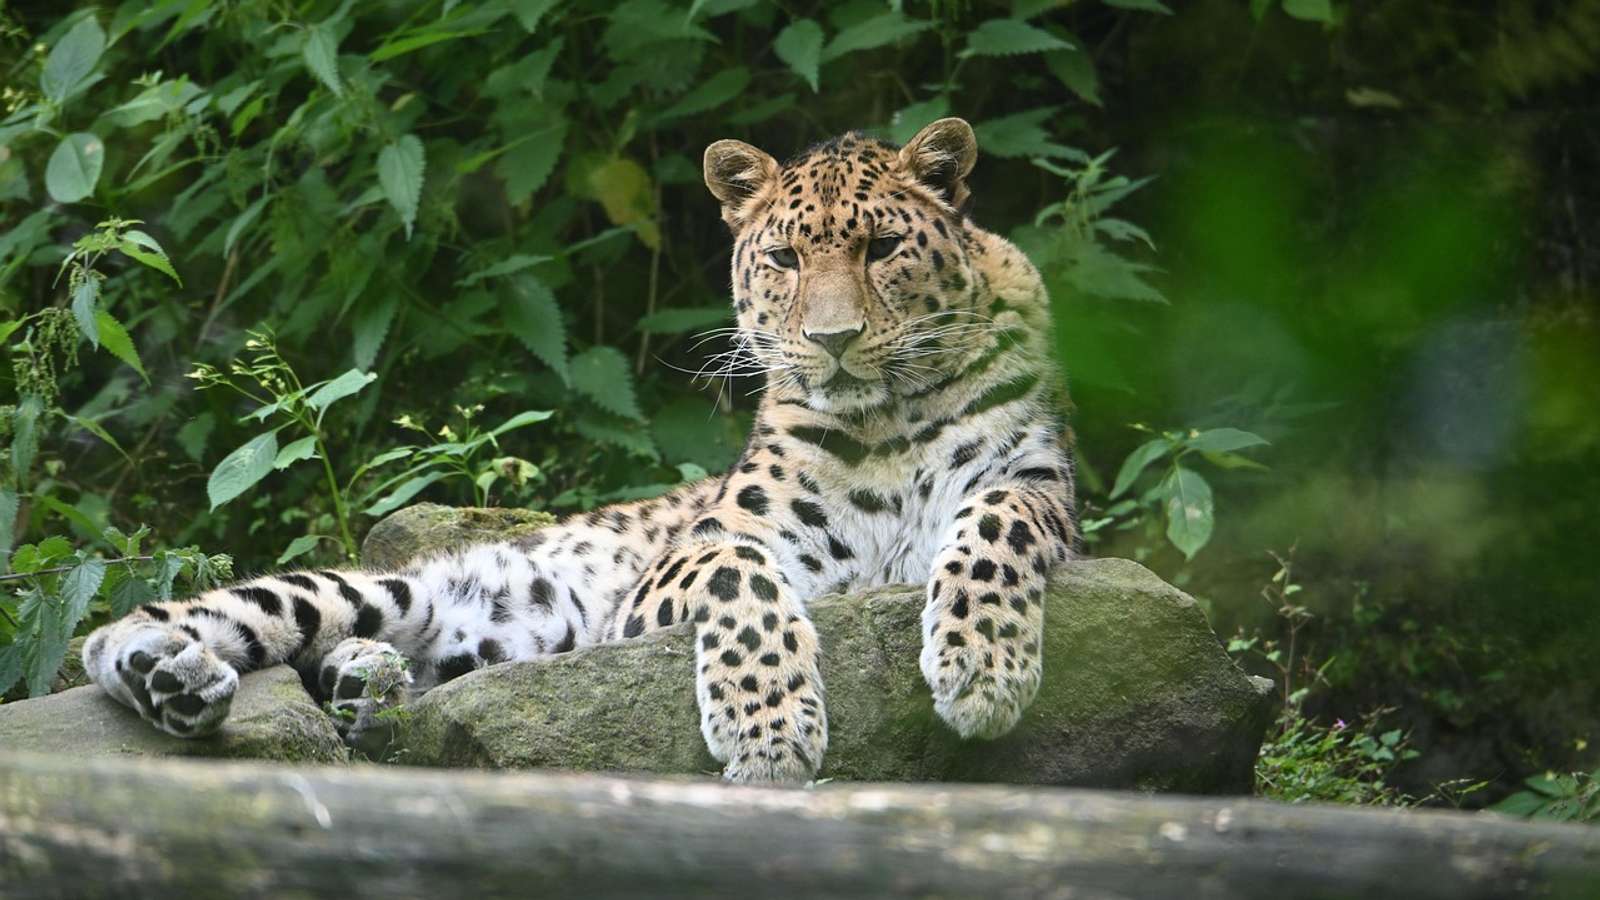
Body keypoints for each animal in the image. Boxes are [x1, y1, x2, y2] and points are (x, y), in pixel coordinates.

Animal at [81, 118, 1078, 784]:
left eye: (881, 248)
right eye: (786, 260)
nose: (831, 341)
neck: (880, 429)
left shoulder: (1039, 484)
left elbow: (998, 517)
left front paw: (983, 668)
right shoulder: (674, 572)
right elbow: (741, 572)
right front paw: (768, 730)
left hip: (485, 645)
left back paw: (366, 684)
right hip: (378, 588)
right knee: (154, 626)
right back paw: (175, 674)